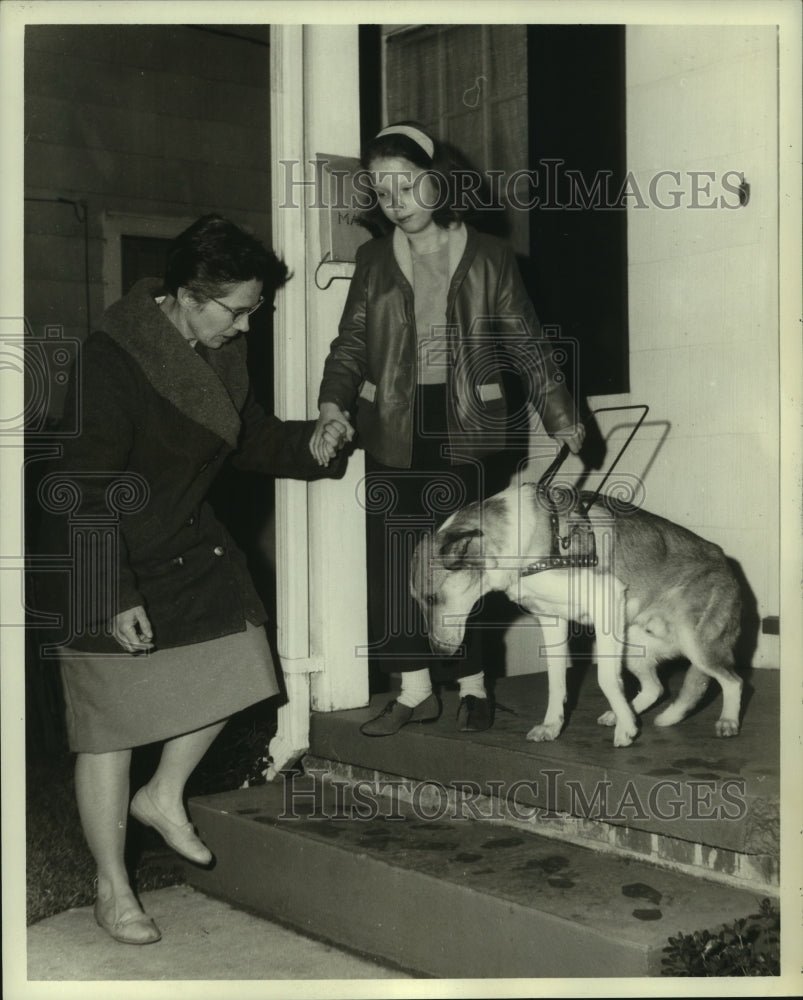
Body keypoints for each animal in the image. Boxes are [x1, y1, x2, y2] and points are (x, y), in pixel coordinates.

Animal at [412, 480, 744, 748]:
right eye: (420, 601)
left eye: (432, 598)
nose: (440, 656)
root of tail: (726, 563)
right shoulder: (552, 621)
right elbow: (557, 681)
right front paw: (552, 726)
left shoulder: (605, 601)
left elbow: (606, 680)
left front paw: (626, 731)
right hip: (631, 646)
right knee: (656, 687)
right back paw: (624, 714)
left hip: (694, 646)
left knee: (733, 681)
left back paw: (727, 722)